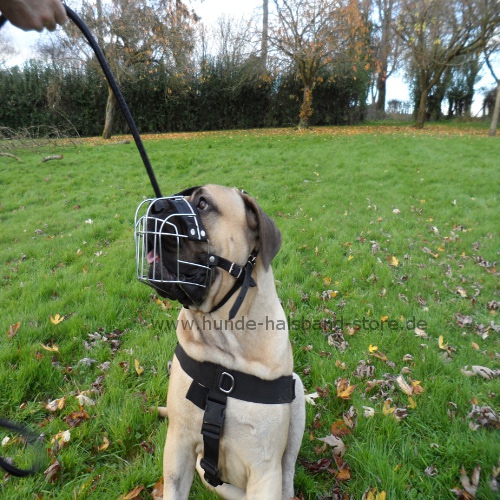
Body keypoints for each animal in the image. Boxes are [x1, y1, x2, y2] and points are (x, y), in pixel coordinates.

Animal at [137, 187, 304, 500]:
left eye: (203, 204)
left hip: (297, 394)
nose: (155, 207)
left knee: (288, 469)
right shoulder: (178, 447)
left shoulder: (265, 470)